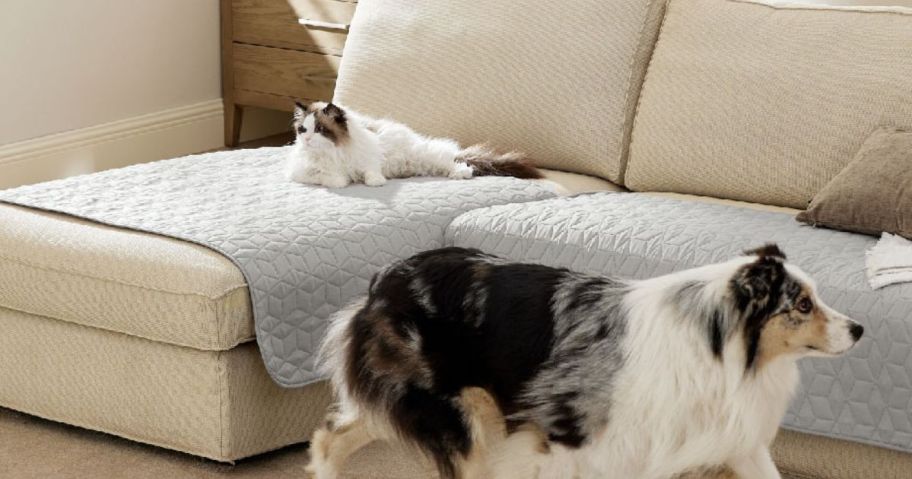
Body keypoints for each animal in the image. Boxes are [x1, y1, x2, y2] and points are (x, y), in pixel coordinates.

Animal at [284, 101, 540, 188]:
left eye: (320, 130)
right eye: (303, 130)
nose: (307, 139)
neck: (333, 152)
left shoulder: (368, 158)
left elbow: (370, 171)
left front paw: (376, 182)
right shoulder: (302, 173)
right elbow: (329, 177)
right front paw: (342, 180)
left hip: (427, 158)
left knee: (458, 162)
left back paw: (459, 174)